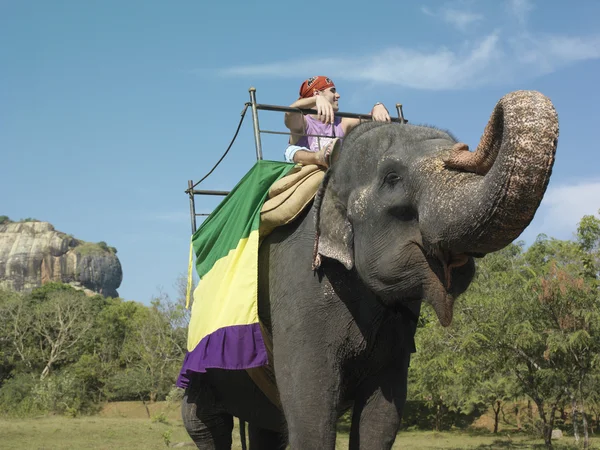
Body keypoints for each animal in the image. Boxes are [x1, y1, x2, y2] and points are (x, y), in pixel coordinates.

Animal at [182, 89, 556, 448]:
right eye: (392, 178)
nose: (465, 148)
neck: (331, 177)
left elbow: (382, 419)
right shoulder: (298, 285)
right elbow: (311, 414)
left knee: (266, 429)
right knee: (205, 426)